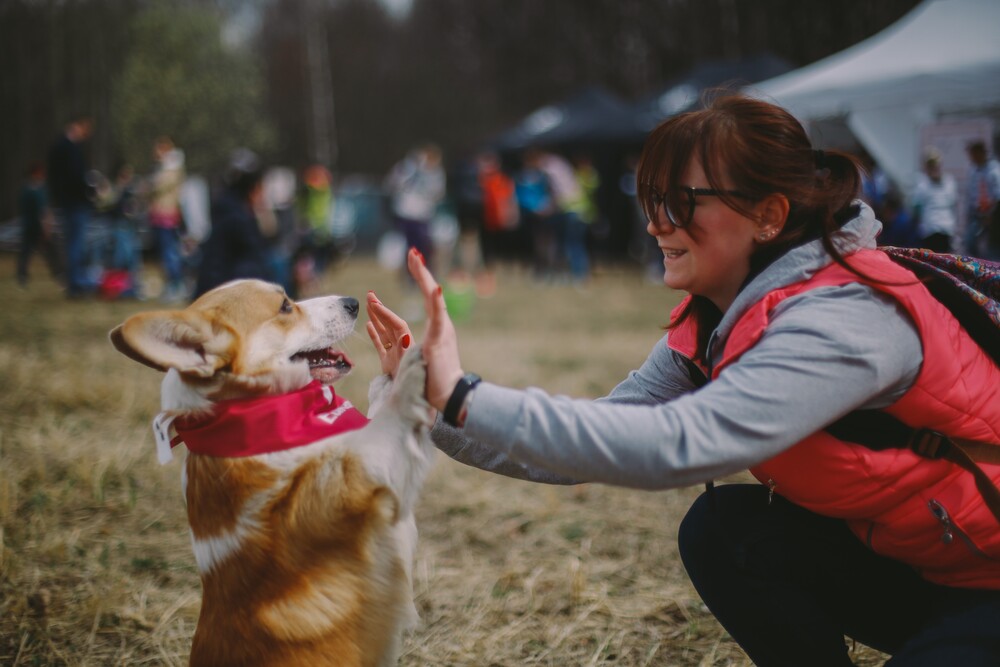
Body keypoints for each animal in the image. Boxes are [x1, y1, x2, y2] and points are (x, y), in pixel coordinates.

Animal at [109, 280, 434, 664]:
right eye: (285, 307)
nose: (353, 302)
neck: (255, 412)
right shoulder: (352, 483)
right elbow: (384, 426)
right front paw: (411, 366)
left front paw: (392, 371)